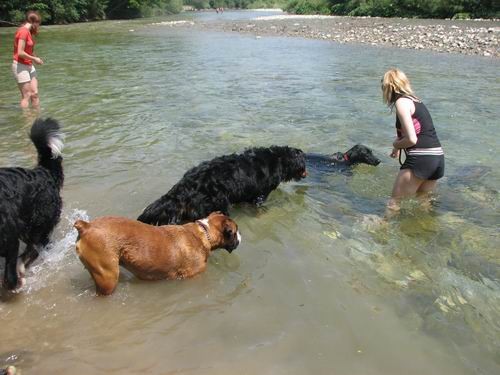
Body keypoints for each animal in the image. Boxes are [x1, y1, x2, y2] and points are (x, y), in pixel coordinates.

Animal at [0, 119, 63, 290]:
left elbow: (9, 278)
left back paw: (22, 269)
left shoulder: (10, 240)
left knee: (35, 248)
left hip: (36, 223)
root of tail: (42, 171)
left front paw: (16, 283)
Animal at [73, 212, 242, 296]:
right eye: (235, 231)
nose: (241, 237)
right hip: (107, 277)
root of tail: (87, 226)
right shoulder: (193, 277)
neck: (204, 233)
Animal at [139, 145, 306, 225]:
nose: (306, 174)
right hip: (217, 204)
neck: (279, 158)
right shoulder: (261, 194)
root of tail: (186, 185)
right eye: (304, 166)